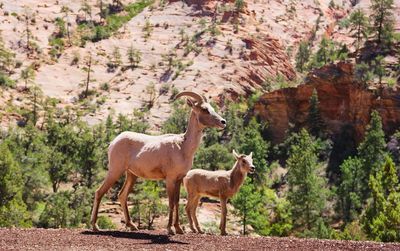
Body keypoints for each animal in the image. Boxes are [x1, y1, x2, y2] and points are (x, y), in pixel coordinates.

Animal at [92, 91, 227, 234]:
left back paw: (132, 226)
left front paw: (179, 229)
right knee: (99, 192)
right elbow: (171, 202)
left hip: (131, 175)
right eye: (204, 109)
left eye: (212, 108)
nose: (223, 122)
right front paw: (170, 229)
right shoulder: (170, 179)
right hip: (115, 171)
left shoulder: (179, 179)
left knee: (122, 195)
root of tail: (113, 142)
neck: (182, 147)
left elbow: (177, 201)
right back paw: (95, 226)